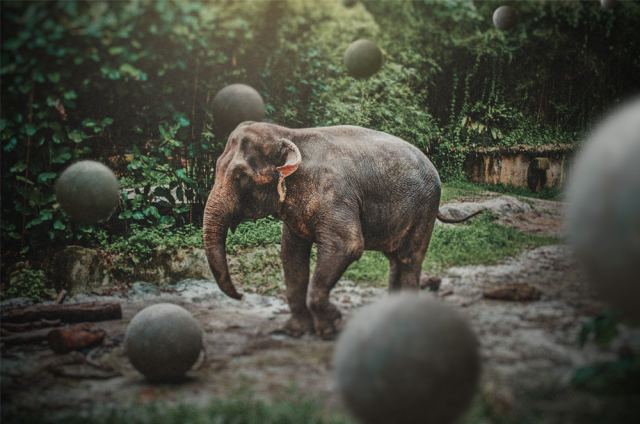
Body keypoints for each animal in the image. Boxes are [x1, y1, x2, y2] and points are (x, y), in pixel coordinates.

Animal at [203, 122, 479, 338]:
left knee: (410, 258)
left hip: (424, 209)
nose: (240, 295)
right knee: (395, 259)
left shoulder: (335, 194)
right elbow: (291, 254)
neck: (289, 134)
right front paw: (296, 331)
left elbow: (347, 246)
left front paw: (331, 325)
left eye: (240, 176)